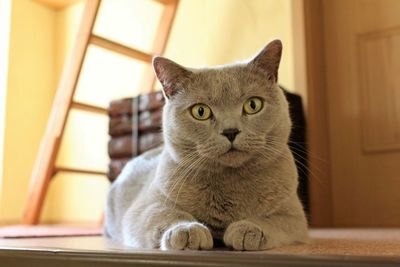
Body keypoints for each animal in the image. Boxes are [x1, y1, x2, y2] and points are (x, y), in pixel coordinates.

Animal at [104, 39, 310, 251]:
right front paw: (186, 230)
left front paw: (248, 230)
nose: (230, 131)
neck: (229, 182)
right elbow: (165, 214)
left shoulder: (294, 216)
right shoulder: (146, 206)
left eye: (253, 105)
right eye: (200, 111)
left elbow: (273, 220)